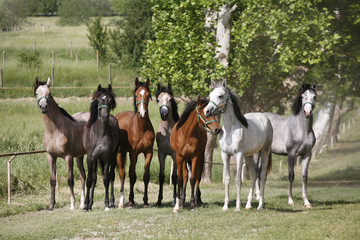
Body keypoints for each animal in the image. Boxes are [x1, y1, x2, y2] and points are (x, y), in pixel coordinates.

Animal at [33, 77, 88, 210]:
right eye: (37, 93)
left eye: (49, 93)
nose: (44, 107)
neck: (54, 131)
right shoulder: (50, 156)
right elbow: (52, 180)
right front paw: (51, 205)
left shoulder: (68, 157)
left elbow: (70, 180)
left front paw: (72, 204)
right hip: (79, 156)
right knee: (83, 176)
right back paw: (83, 203)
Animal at [83, 83, 119, 211]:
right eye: (99, 100)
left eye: (110, 100)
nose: (104, 116)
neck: (99, 135)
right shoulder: (90, 158)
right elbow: (89, 180)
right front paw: (85, 205)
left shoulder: (107, 158)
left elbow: (106, 180)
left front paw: (107, 203)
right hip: (96, 160)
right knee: (94, 178)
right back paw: (90, 204)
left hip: (113, 157)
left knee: (111, 176)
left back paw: (112, 202)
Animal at [115, 78, 155, 207]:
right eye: (136, 95)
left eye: (148, 95)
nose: (142, 113)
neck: (141, 128)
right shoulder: (134, 154)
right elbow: (132, 176)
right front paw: (131, 200)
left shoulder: (149, 153)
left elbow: (146, 176)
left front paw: (146, 201)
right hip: (119, 153)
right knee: (122, 174)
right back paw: (122, 201)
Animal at [202, 80, 272, 210]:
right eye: (209, 96)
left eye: (220, 96)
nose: (207, 111)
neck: (230, 130)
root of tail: (266, 119)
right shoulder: (225, 155)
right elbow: (227, 179)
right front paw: (225, 206)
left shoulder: (238, 155)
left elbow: (238, 181)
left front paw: (237, 207)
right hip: (249, 156)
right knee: (254, 174)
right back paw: (248, 205)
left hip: (264, 152)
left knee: (262, 176)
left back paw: (260, 205)